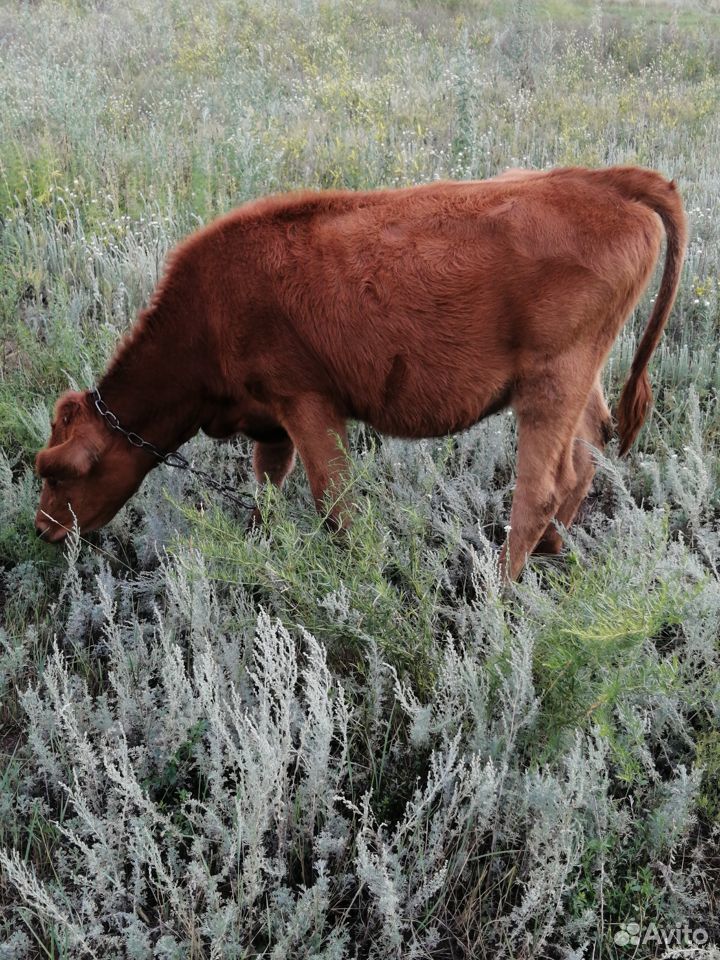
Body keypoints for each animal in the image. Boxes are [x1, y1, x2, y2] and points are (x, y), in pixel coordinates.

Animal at [33, 165, 688, 576]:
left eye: (62, 471)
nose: (42, 531)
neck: (208, 312)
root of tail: (601, 179)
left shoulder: (307, 404)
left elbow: (334, 501)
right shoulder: (271, 422)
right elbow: (267, 487)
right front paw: (259, 548)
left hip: (550, 384)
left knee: (539, 488)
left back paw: (497, 600)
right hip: (577, 380)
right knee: (585, 454)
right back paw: (554, 549)